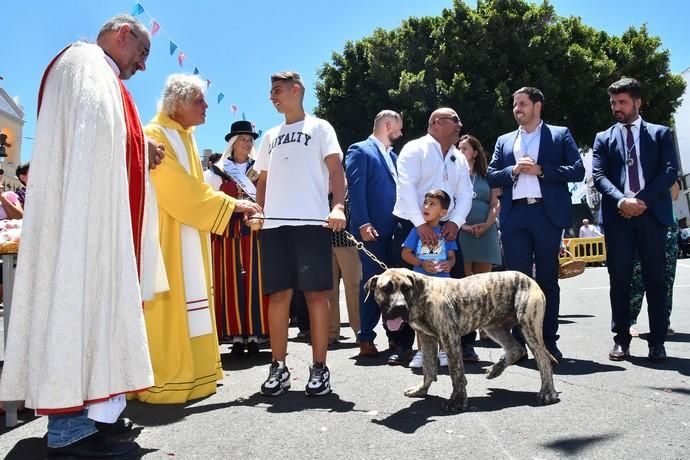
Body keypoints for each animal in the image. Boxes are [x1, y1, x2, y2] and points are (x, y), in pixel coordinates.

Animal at [362, 268, 556, 412]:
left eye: (405, 288)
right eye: (386, 288)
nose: (400, 307)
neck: (419, 295)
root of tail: (530, 279)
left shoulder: (450, 337)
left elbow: (456, 372)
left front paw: (457, 401)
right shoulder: (426, 338)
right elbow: (428, 369)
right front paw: (421, 390)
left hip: (528, 325)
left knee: (543, 360)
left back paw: (547, 393)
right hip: (493, 327)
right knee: (517, 349)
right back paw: (495, 370)